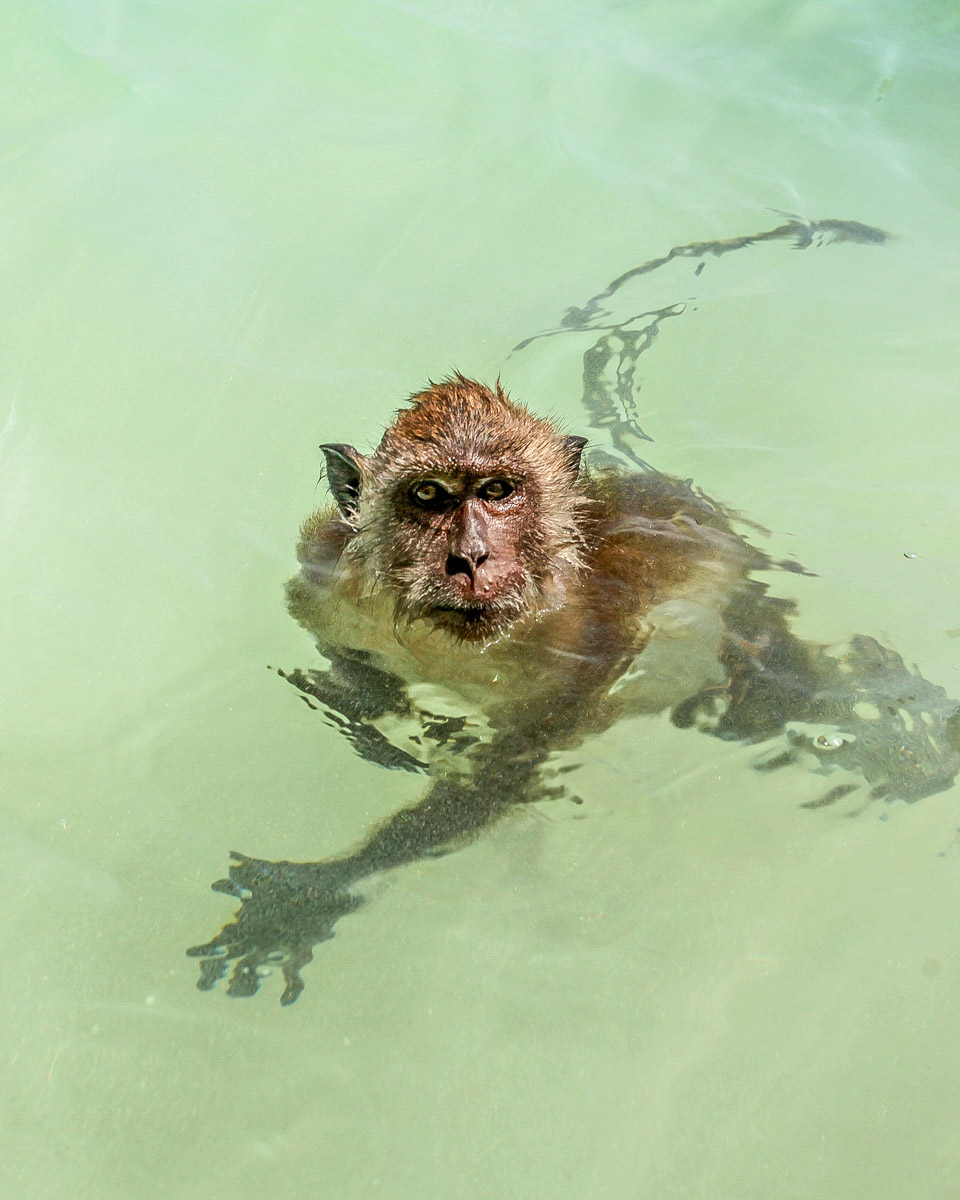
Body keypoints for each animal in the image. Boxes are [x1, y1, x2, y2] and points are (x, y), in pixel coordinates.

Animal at [188, 375, 960, 1005]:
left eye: (498, 491)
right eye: (428, 495)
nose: (470, 557)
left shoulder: (594, 640)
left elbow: (510, 768)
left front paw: (320, 887)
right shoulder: (323, 570)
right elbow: (337, 653)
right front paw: (379, 714)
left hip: (739, 614)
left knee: (767, 698)